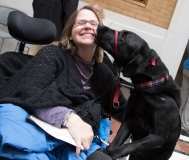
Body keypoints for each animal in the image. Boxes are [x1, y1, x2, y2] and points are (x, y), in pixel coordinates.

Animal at [95, 24, 181, 160]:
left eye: (123, 36)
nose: (99, 25)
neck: (148, 89)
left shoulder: (157, 136)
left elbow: (129, 146)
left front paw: (110, 153)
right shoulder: (128, 120)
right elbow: (117, 141)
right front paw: (107, 151)